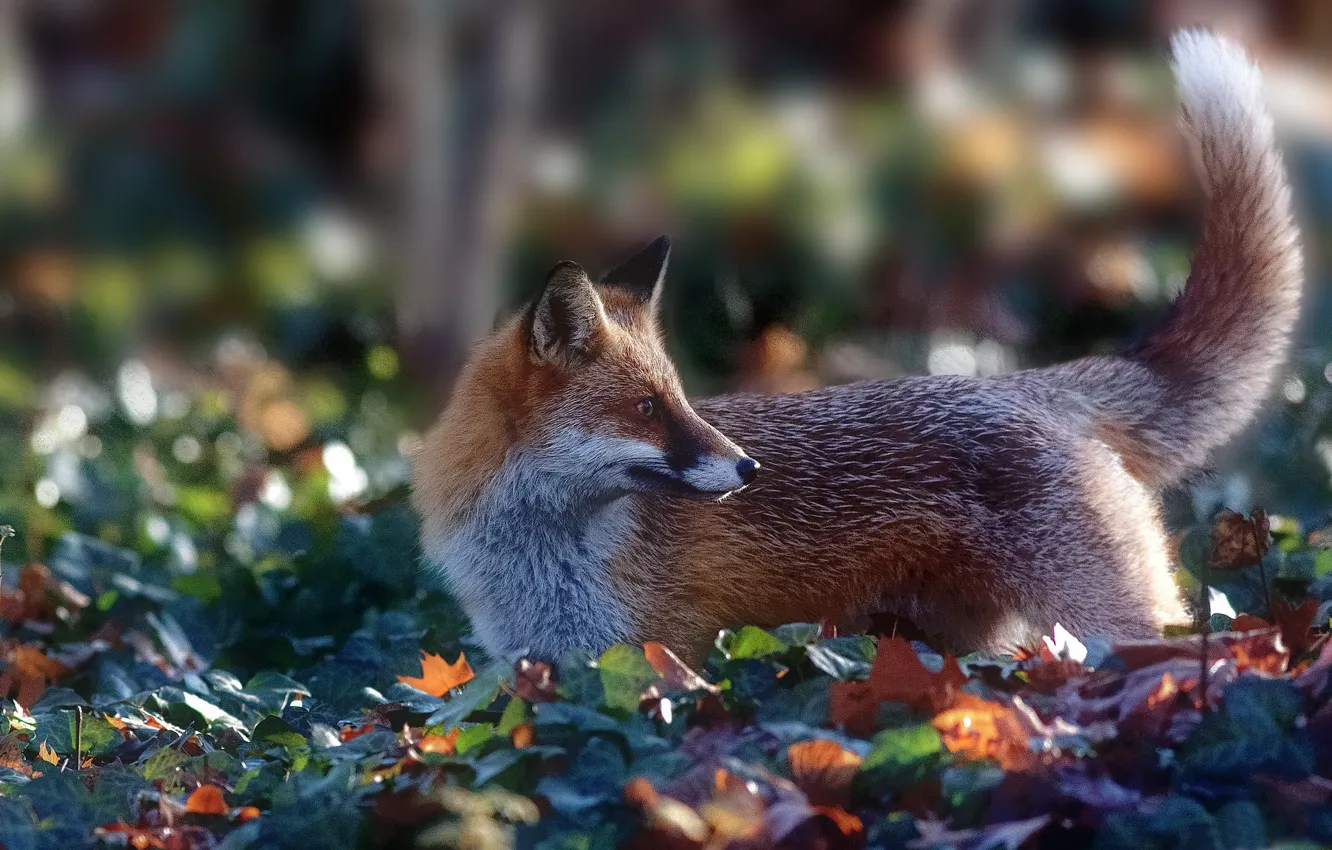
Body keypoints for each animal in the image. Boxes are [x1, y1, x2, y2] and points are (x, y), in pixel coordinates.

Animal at [412, 31, 1300, 666]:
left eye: (680, 399)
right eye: (645, 407)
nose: (749, 469)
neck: (535, 556)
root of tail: (1030, 385)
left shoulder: (666, 657)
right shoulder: (546, 674)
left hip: (1114, 622)